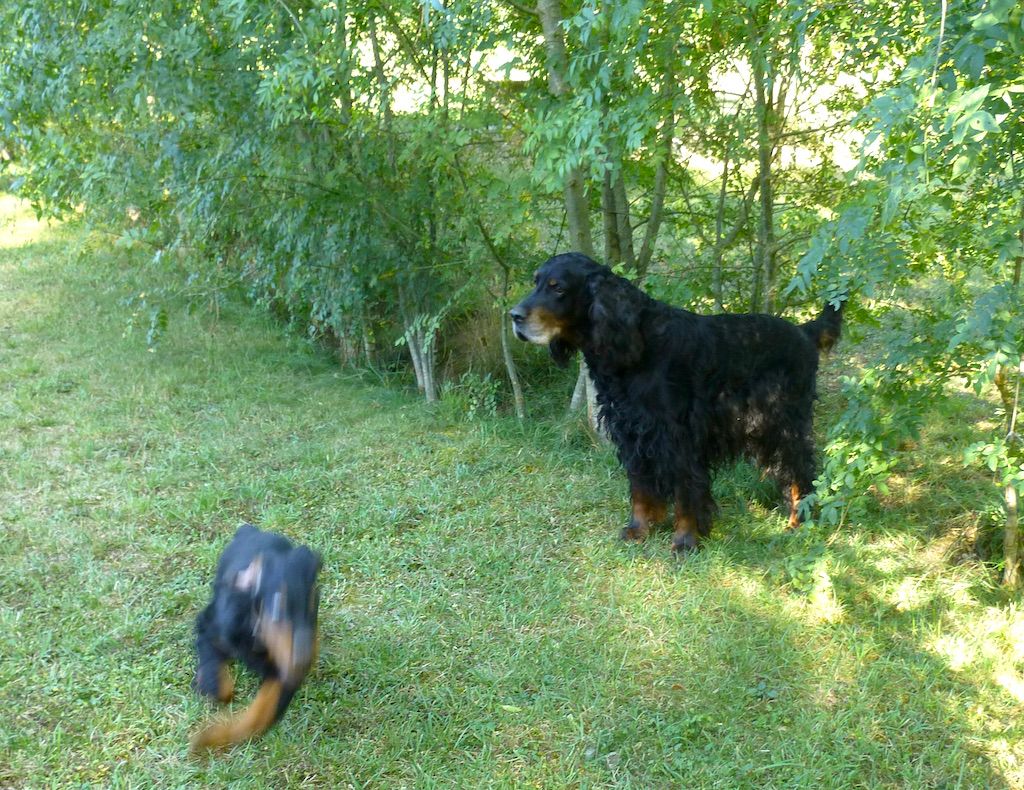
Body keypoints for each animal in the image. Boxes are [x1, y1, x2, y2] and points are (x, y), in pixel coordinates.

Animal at [190, 524, 321, 754]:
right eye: (277, 607)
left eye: (313, 605)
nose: (304, 662)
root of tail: (251, 529)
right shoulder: (210, 626)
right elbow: (215, 670)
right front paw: (208, 685)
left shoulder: (282, 672)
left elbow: (264, 711)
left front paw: (213, 738)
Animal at [507, 256, 843, 553]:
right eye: (536, 282)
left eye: (558, 288)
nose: (514, 316)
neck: (640, 344)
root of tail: (803, 331)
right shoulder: (634, 434)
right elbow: (641, 488)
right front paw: (640, 528)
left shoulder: (678, 437)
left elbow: (684, 493)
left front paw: (684, 541)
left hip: (784, 422)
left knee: (801, 470)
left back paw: (798, 521)